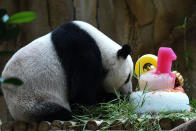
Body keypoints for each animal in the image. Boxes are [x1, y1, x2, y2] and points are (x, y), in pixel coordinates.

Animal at [1, 20, 133, 122]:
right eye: (127, 78)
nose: (129, 92)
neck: (101, 46)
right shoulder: (81, 50)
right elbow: (82, 94)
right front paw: (113, 100)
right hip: (31, 101)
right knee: (58, 112)